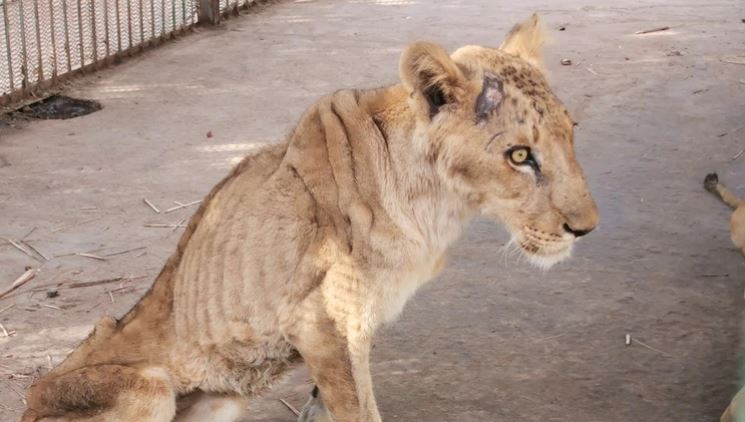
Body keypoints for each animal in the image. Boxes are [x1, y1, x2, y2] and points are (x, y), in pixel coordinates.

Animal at [21, 14, 598, 422]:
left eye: (571, 133)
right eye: (519, 155)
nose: (586, 228)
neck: (438, 204)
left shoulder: (354, 327)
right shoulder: (324, 322)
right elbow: (359, 411)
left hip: (220, 399)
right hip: (148, 385)